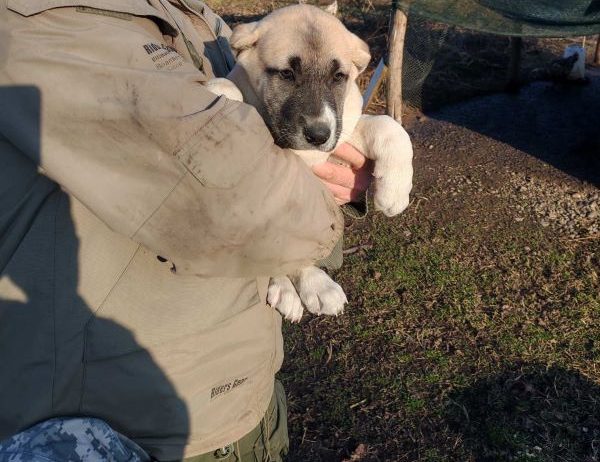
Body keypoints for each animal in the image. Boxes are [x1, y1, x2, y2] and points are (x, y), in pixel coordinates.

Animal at [206, 4, 412, 322]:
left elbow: (388, 125)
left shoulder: (341, 136)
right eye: (287, 74)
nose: (318, 135)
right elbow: (230, 84)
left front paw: (395, 190)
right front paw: (222, 90)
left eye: (338, 77)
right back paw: (300, 286)